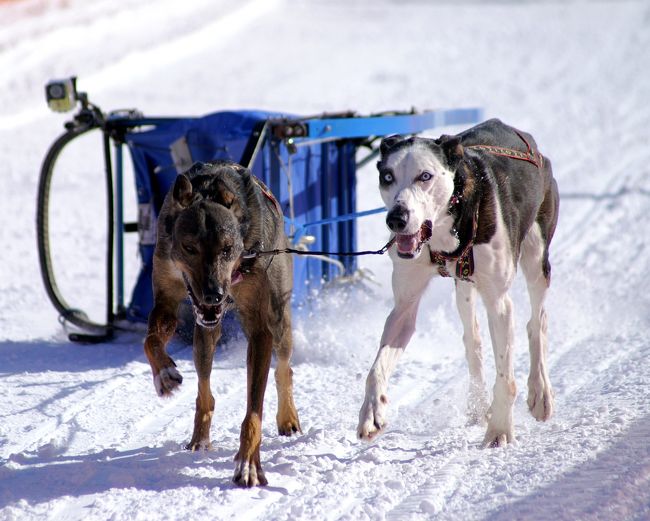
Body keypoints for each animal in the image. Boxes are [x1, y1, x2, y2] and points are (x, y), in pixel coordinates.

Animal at [143, 160, 300, 486]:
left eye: (227, 249)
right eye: (189, 247)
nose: (214, 294)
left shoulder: (260, 330)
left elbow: (254, 410)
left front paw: (248, 463)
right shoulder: (166, 301)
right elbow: (150, 340)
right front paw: (163, 374)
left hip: (279, 319)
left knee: (284, 368)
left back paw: (287, 417)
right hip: (204, 340)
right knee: (205, 391)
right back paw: (199, 438)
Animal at [354, 119, 556, 446]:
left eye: (425, 176)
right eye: (387, 176)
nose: (396, 218)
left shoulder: (499, 303)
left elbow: (506, 378)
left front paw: (500, 429)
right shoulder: (404, 306)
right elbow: (376, 368)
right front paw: (372, 411)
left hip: (537, 258)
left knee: (537, 322)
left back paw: (540, 393)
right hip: (465, 288)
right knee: (472, 339)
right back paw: (478, 405)